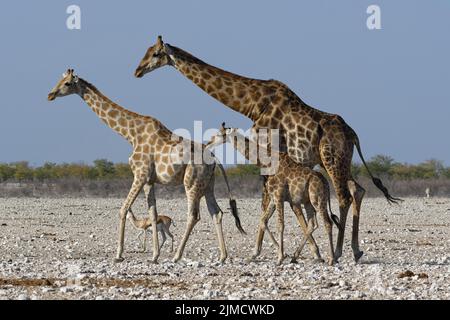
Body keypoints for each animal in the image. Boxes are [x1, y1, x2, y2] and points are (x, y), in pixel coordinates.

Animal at [47, 69, 244, 264]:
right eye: (59, 80)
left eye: (67, 83)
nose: (50, 95)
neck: (131, 134)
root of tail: (215, 159)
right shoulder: (149, 180)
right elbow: (153, 215)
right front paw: (154, 255)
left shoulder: (139, 175)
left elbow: (123, 209)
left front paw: (118, 254)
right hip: (208, 184)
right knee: (216, 213)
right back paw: (222, 256)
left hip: (191, 182)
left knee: (194, 215)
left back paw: (177, 256)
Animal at [207, 122, 342, 264]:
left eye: (218, 134)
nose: (208, 143)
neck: (266, 162)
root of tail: (326, 183)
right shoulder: (273, 198)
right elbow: (263, 221)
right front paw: (278, 254)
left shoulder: (278, 196)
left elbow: (280, 225)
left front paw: (279, 258)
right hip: (308, 201)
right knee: (313, 223)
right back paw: (296, 256)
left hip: (318, 199)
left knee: (327, 223)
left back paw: (331, 259)